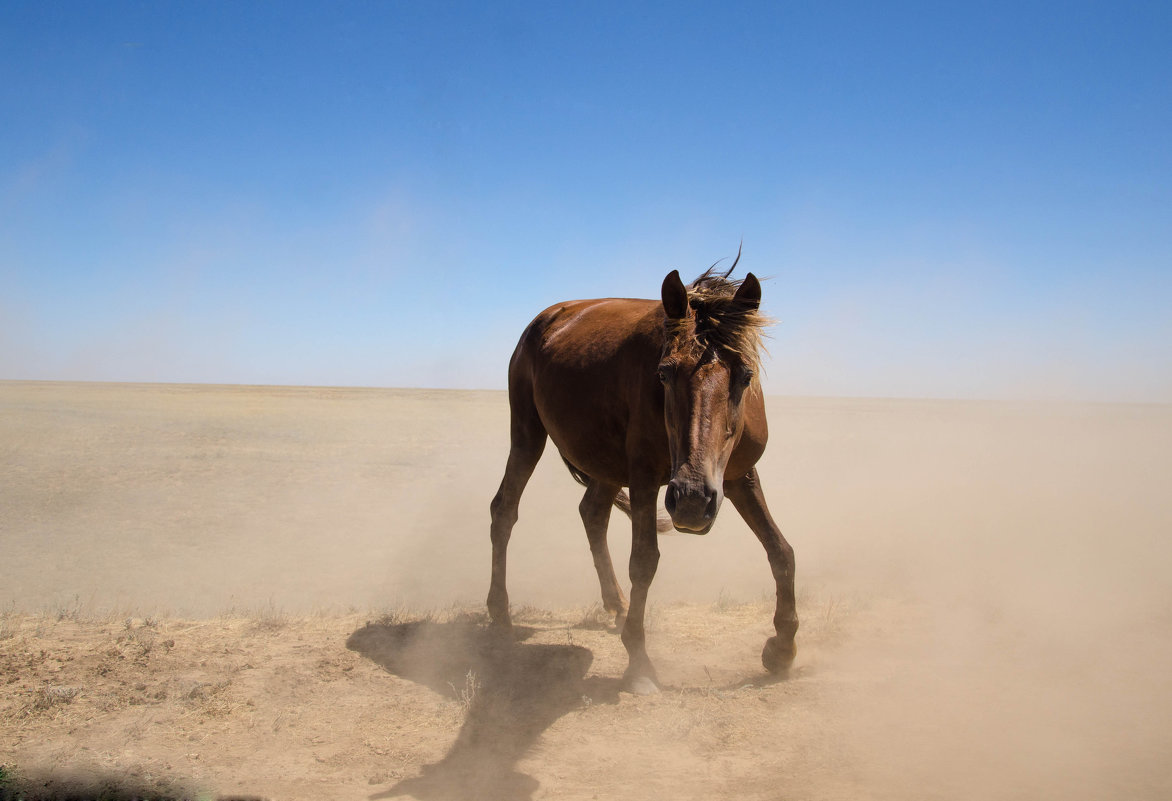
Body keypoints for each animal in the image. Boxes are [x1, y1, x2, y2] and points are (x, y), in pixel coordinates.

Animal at [485, 258, 796, 694]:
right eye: (664, 374)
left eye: (745, 376)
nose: (692, 501)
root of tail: (547, 318)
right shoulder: (646, 479)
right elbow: (645, 562)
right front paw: (639, 664)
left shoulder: (738, 477)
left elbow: (781, 551)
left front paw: (783, 649)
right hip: (528, 434)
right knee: (504, 510)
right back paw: (500, 613)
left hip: (605, 461)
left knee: (592, 513)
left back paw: (616, 604)